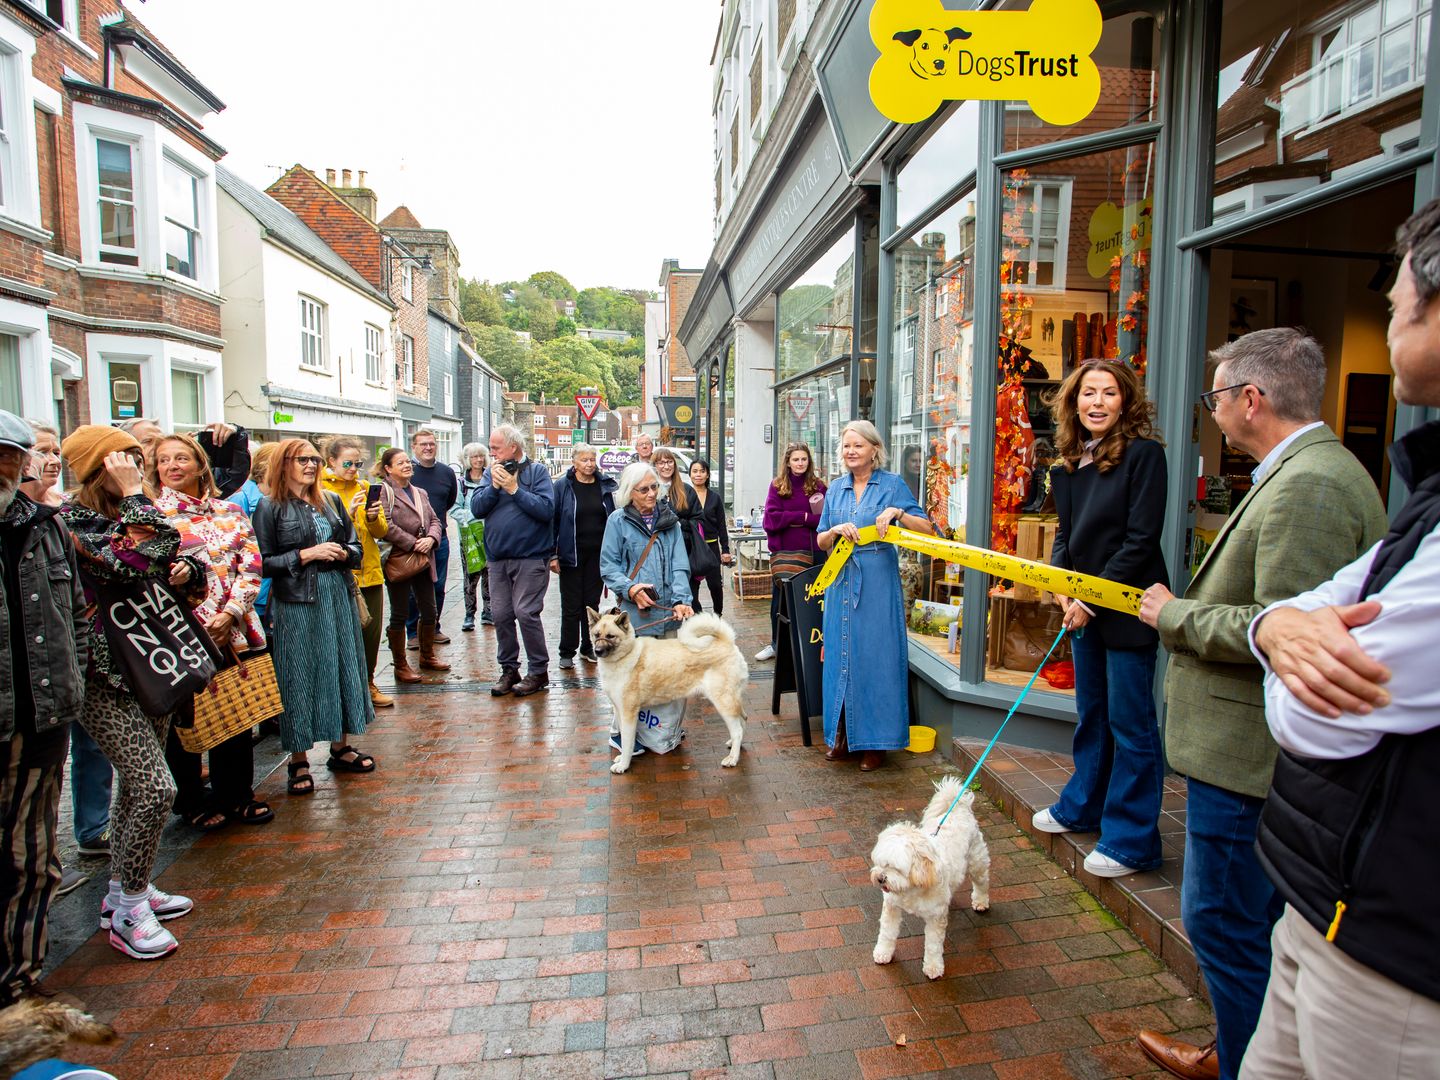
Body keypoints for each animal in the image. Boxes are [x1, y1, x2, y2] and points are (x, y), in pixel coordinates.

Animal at [584, 610, 748, 777]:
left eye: (610, 636)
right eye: (596, 635)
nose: (597, 651)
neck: (626, 655)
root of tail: (727, 642)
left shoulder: (628, 713)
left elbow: (627, 742)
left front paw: (624, 764)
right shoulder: (619, 710)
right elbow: (624, 740)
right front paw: (622, 758)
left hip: (723, 703)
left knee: (737, 731)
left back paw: (732, 759)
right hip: (732, 701)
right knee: (742, 721)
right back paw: (735, 746)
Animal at [864, 771, 990, 984]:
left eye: (895, 868)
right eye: (880, 863)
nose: (880, 878)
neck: (912, 887)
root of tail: (957, 808)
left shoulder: (935, 917)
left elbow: (933, 945)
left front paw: (933, 967)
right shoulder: (892, 906)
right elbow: (887, 933)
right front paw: (883, 953)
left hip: (977, 862)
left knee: (982, 882)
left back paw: (981, 902)